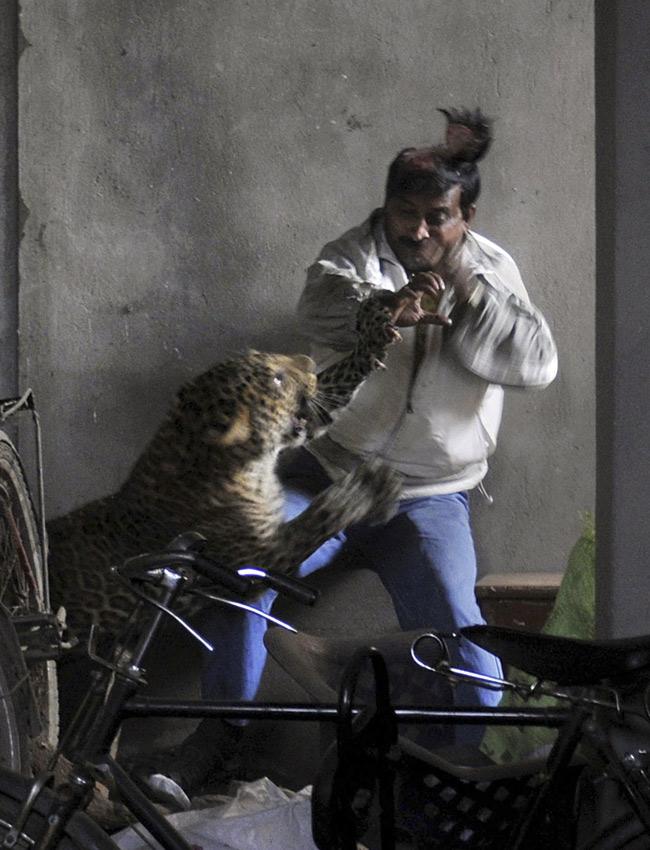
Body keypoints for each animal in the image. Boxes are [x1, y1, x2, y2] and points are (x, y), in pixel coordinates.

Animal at [46, 294, 400, 640]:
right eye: (277, 379)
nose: (309, 362)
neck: (252, 466)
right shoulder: (251, 568)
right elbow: (318, 519)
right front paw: (369, 486)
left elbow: (335, 387)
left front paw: (372, 332)